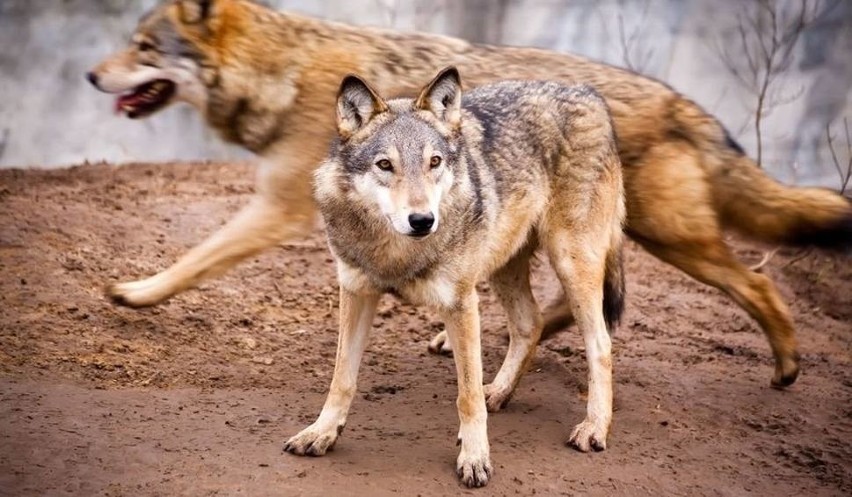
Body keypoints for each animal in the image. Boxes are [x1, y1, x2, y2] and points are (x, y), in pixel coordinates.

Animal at [88, 0, 852, 388]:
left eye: (143, 47)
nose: (93, 76)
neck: (286, 67)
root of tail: (683, 101)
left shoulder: (276, 208)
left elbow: (196, 258)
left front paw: (137, 292)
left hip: (661, 239)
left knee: (755, 284)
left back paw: (787, 367)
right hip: (583, 241)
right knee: (574, 310)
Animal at [282, 68, 624, 486]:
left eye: (434, 162)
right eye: (384, 165)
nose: (422, 220)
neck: (397, 252)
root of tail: (588, 92)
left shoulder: (460, 303)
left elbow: (467, 396)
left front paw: (474, 457)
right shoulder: (357, 292)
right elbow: (341, 378)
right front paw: (321, 432)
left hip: (571, 262)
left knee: (601, 343)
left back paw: (594, 427)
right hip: (504, 266)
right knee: (531, 323)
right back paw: (500, 392)